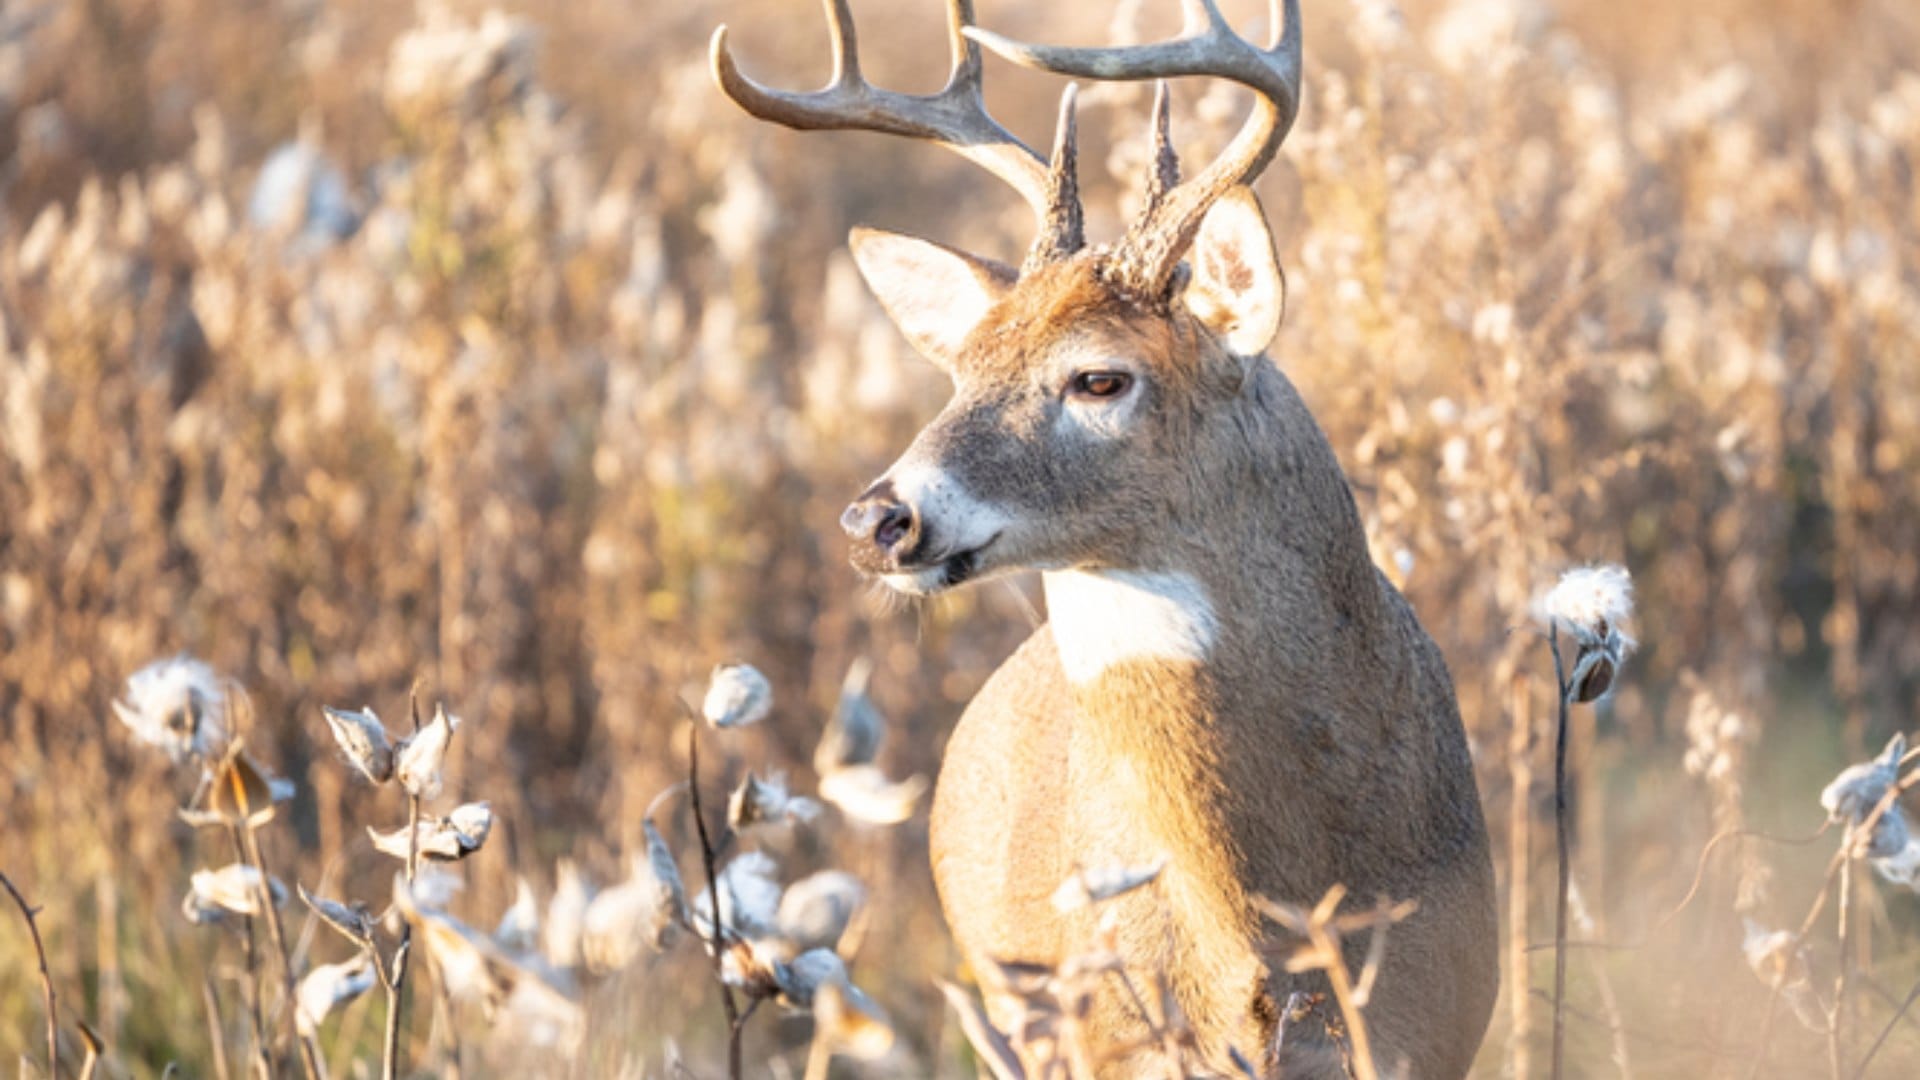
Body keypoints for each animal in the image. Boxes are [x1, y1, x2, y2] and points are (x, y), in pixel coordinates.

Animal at [711, 1, 1498, 1075]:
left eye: (1099, 378)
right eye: (961, 370)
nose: (877, 519)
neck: (1271, 926)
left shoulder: (1439, 1018)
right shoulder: (1118, 1035)